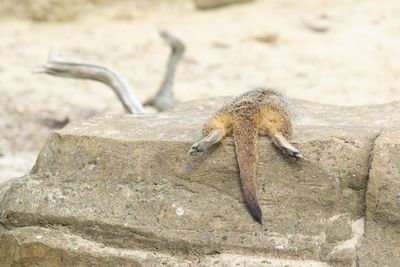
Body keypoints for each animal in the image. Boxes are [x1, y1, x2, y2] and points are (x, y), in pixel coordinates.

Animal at [189, 88, 302, 224]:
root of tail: (248, 112)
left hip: (220, 114)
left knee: (217, 127)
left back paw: (206, 141)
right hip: (279, 114)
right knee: (278, 130)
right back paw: (285, 145)